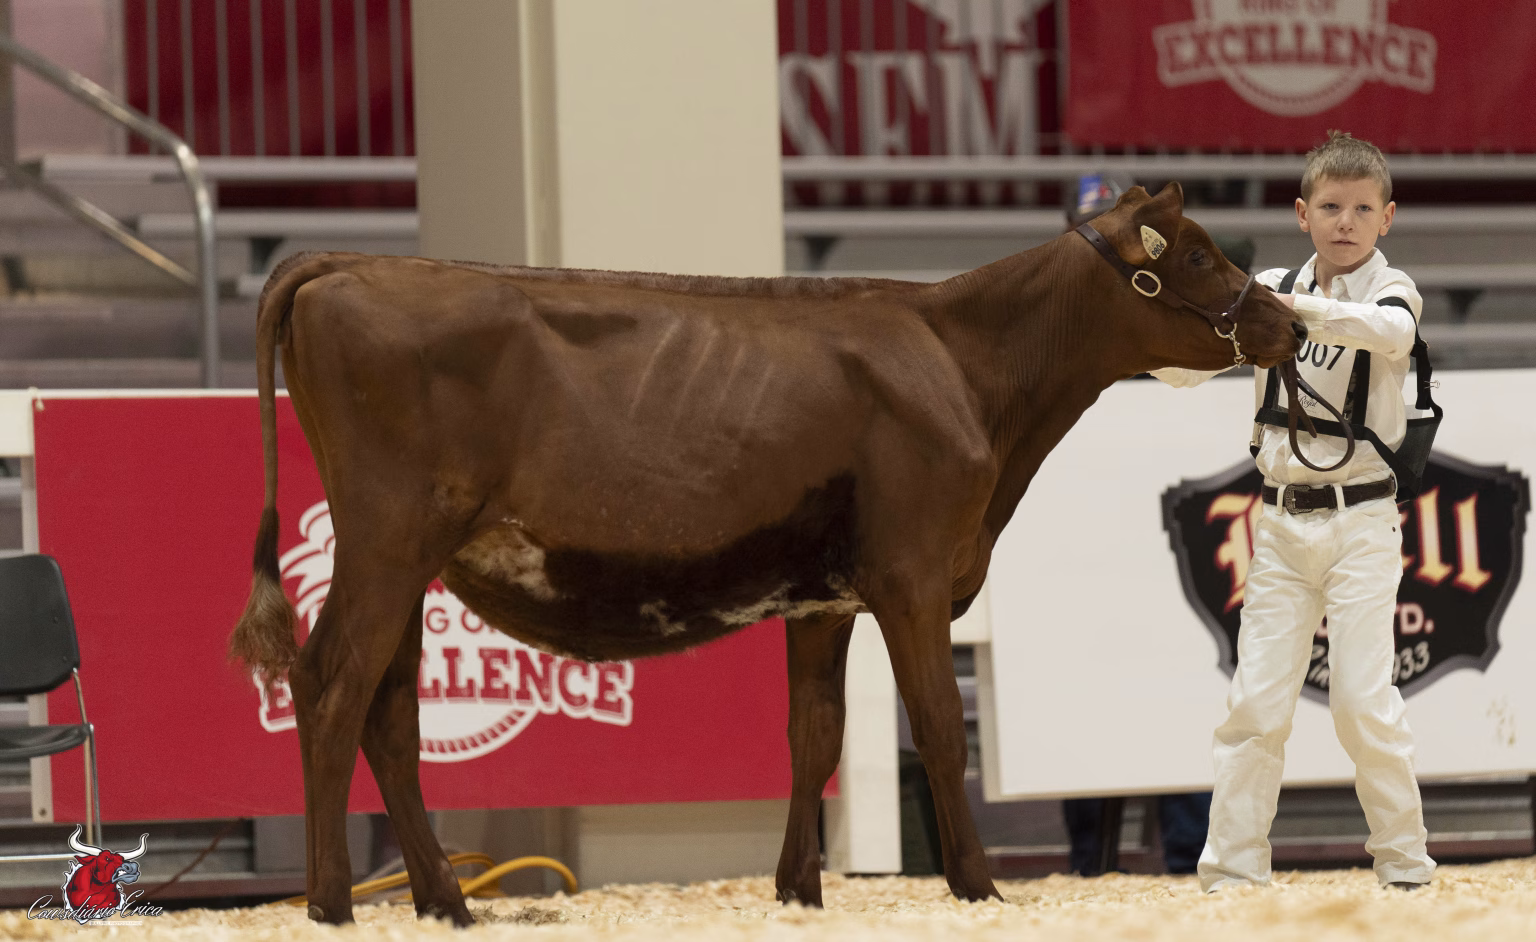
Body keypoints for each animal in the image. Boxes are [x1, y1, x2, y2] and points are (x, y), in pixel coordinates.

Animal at [230, 182, 1307, 926]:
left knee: (389, 714)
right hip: (387, 536)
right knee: (330, 686)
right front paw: (976, 887)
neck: (966, 366)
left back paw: (445, 901)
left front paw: (799, 892)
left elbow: (814, 735)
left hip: (408, 556)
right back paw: (332, 902)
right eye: (1198, 253)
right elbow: (938, 730)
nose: (1289, 322)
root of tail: (347, 265)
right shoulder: (913, 575)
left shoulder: (823, 597)